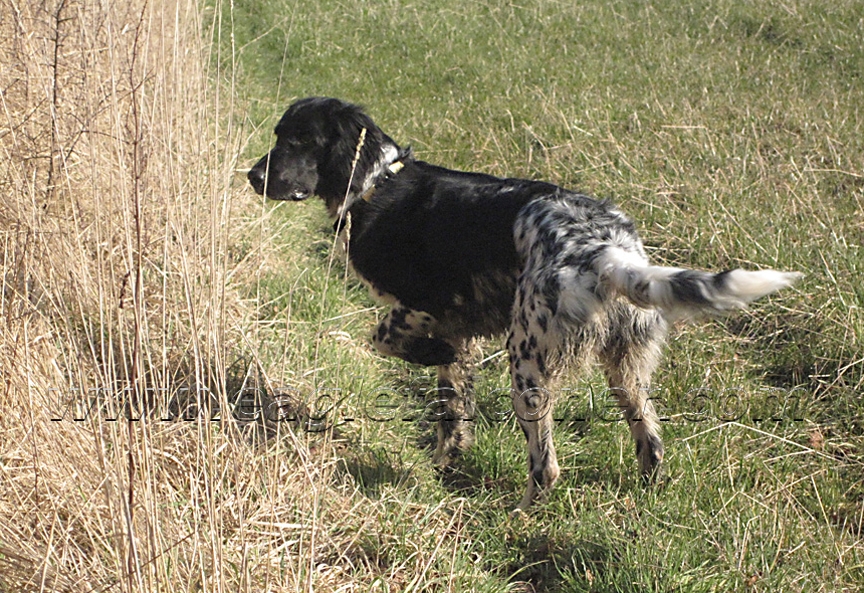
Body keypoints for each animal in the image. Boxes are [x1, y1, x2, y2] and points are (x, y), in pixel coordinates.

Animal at [246, 97, 800, 508]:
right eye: (280, 135)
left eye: (298, 140)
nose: (253, 176)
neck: (375, 184)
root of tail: (603, 248)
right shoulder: (459, 333)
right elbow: (453, 412)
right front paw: (444, 464)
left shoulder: (423, 307)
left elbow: (382, 339)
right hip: (627, 371)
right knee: (652, 444)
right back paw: (643, 495)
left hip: (527, 365)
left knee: (547, 465)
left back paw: (521, 513)